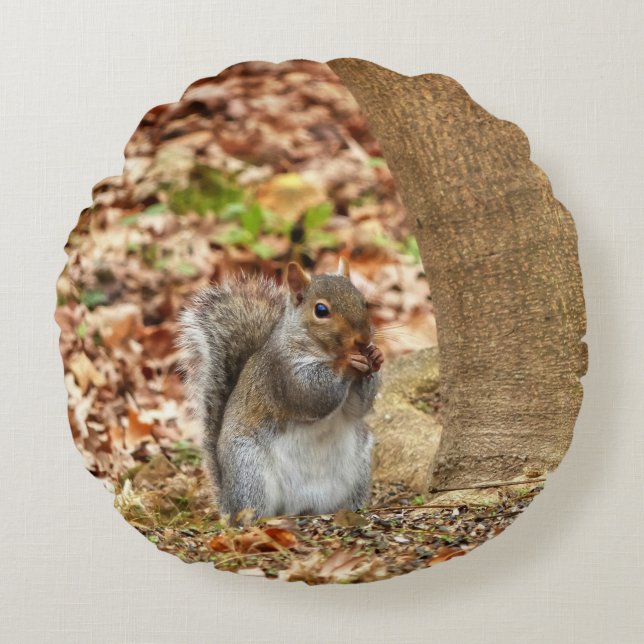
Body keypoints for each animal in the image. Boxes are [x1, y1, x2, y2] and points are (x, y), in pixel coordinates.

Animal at [177, 258, 383, 520]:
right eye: (321, 310)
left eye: (363, 301)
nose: (363, 340)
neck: (323, 351)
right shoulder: (282, 372)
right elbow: (311, 393)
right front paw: (347, 362)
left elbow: (358, 407)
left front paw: (375, 356)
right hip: (249, 470)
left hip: (359, 467)